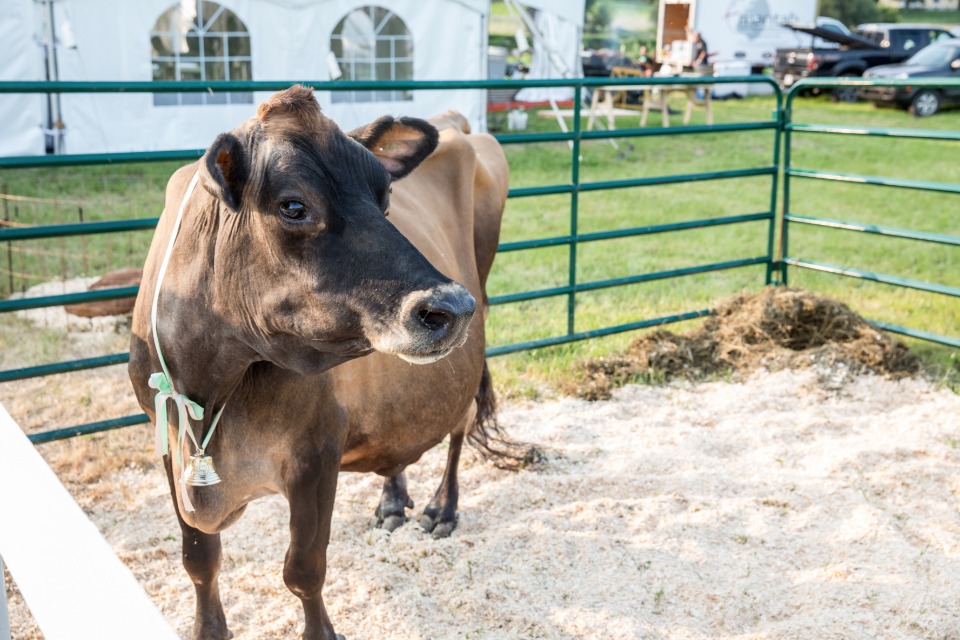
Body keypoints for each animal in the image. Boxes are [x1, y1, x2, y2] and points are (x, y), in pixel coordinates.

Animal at [128, 86, 509, 640]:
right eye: (293, 206)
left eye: (385, 199)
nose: (453, 306)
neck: (211, 380)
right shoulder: (165, 437)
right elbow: (199, 559)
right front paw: (209, 629)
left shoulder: (317, 449)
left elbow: (303, 570)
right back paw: (392, 500)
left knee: (459, 424)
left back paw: (443, 508)